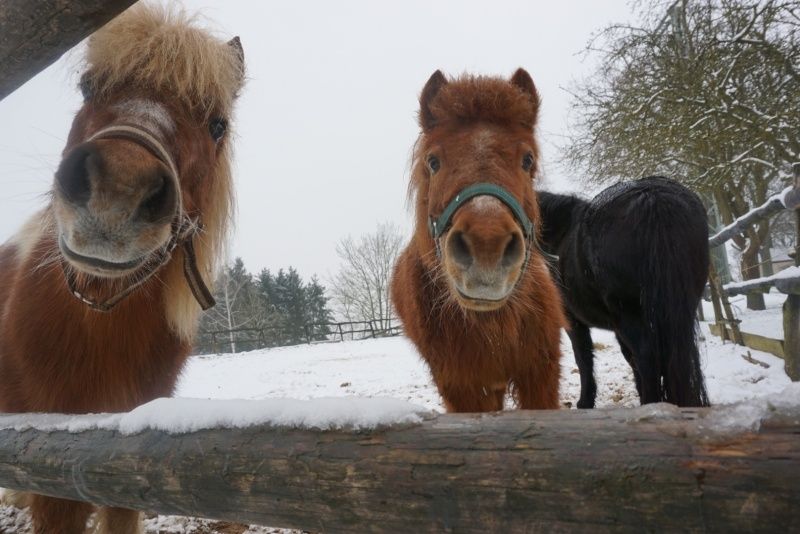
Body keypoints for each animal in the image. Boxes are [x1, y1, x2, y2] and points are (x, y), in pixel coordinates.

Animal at [0, 5, 244, 534]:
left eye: (217, 124)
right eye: (89, 87)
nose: (119, 189)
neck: (99, 331)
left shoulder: (120, 459)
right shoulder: (54, 475)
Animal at [540, 178, 708, 408]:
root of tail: (652, 199)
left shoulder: (573, 320)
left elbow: (583, 357)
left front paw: (585, 401)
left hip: (630, 316)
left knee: (646, 356)